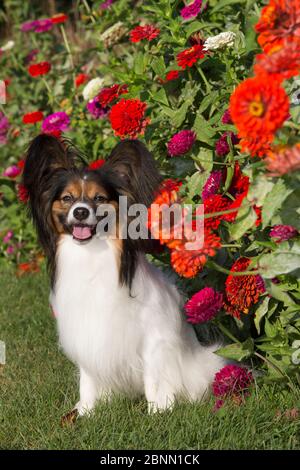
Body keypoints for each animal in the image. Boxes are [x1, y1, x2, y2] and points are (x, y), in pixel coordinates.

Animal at [22, 134, 225, 420]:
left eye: (98, 199)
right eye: (67, 198)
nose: (81, 212)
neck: (91, 255)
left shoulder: (154, 338)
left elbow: (155, 379)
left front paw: (158, 411)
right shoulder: (87, 332)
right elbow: (87, 379)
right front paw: (85, 412)